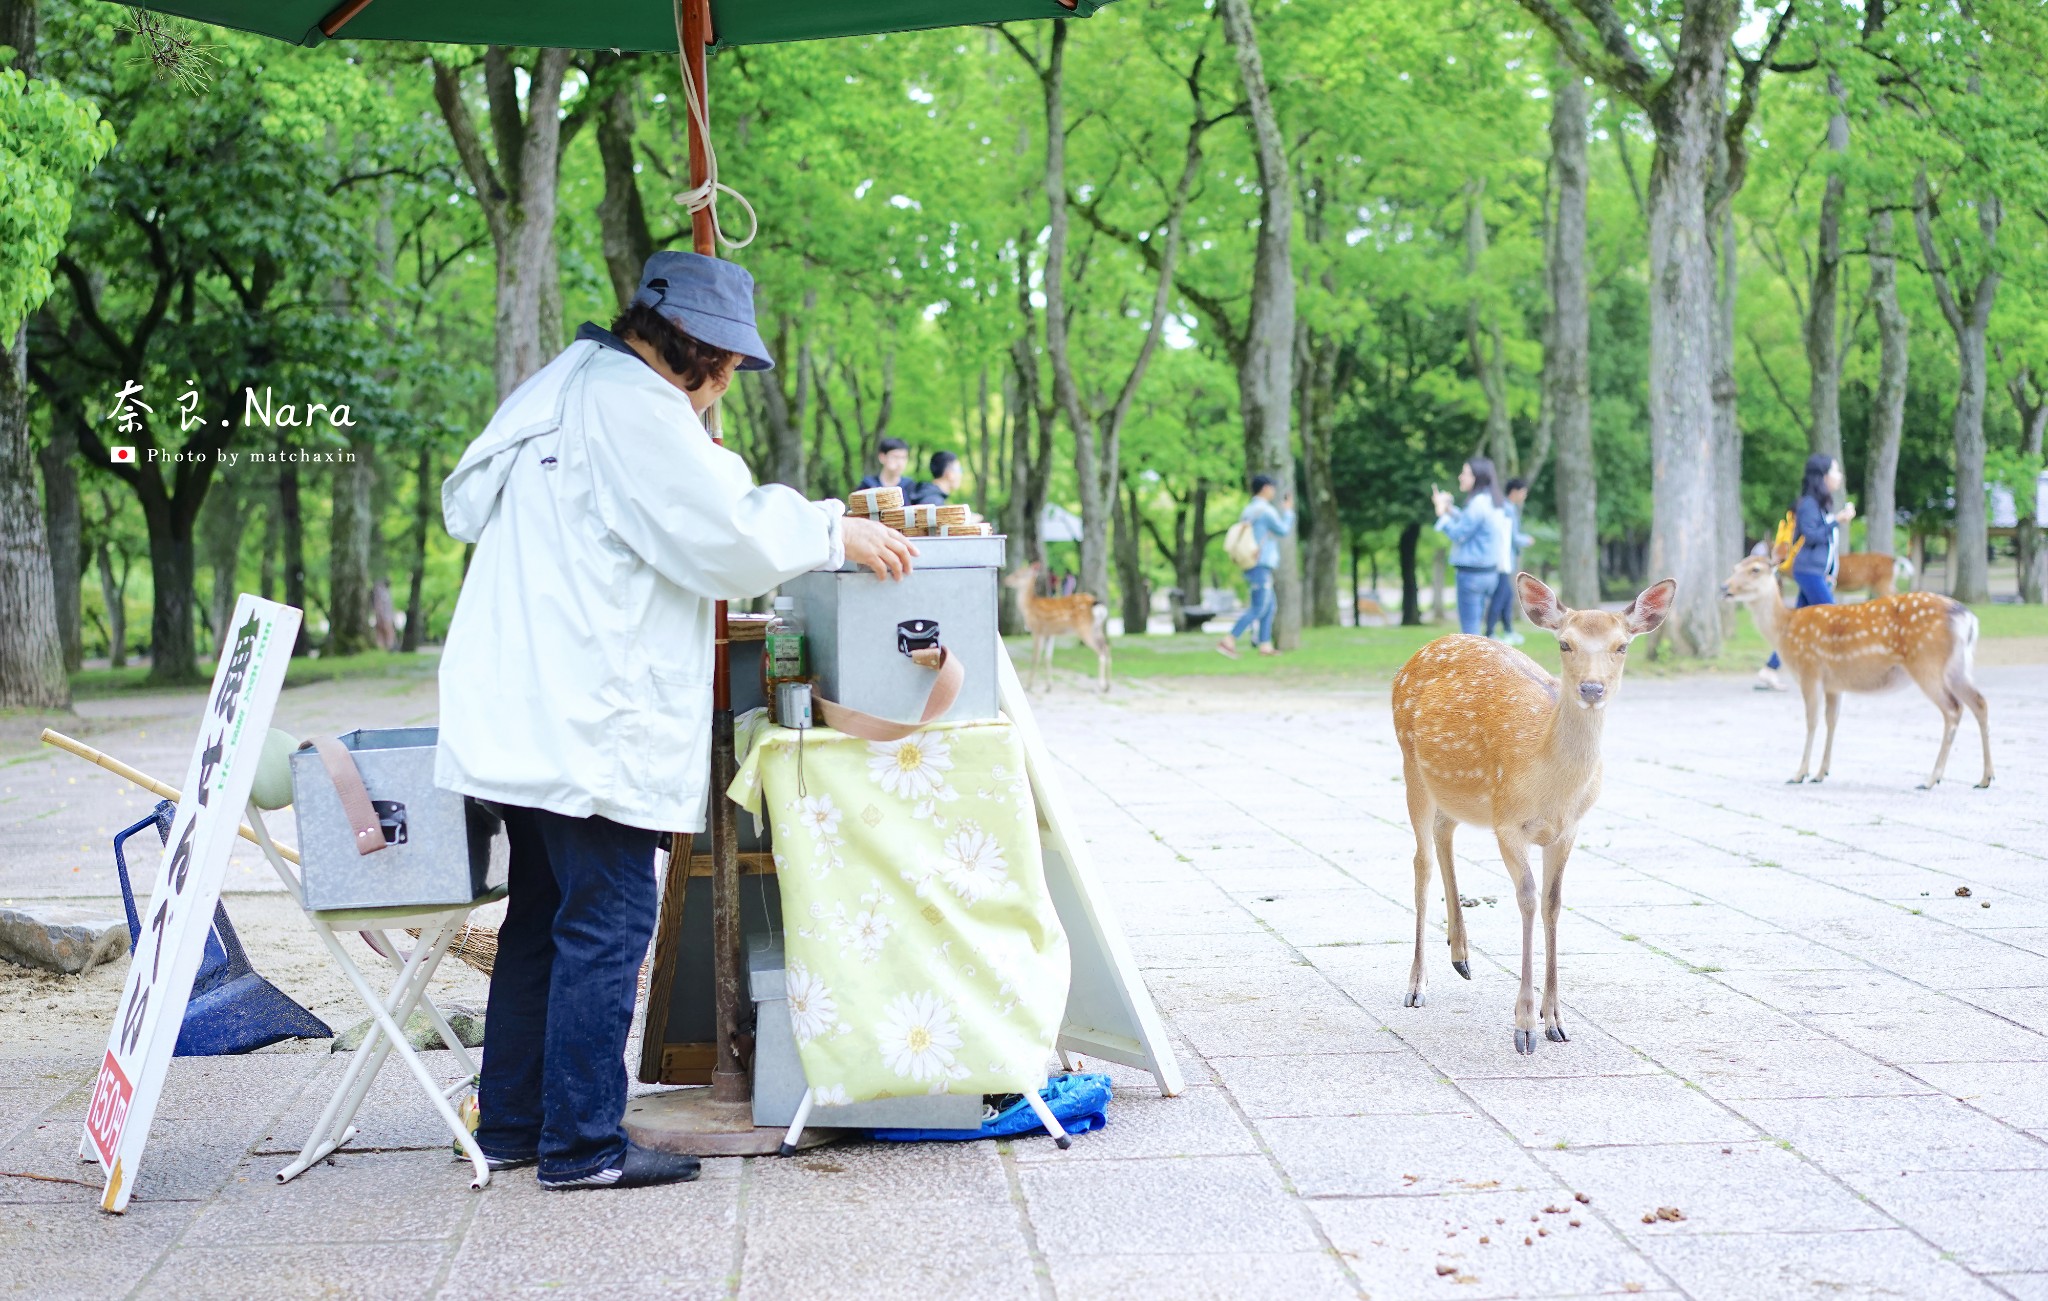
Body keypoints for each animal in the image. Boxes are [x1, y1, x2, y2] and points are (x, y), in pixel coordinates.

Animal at [1003, 565, 1114, 696]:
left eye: (1018, 574)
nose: (1005, 580)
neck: (1029, 607)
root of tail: (1096, 604)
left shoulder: (1037, 630)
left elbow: (1035, 657)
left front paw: (1029, 686)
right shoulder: (1049, 634)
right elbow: (1048, 657)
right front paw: (1048, 687)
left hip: (1084, 629)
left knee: (1101, 651)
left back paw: (1100, 686)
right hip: (1098, 629)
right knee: (1106, 647)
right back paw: (1107, 686)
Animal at [1384, 573, 1671, 1057]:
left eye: (1622, 646)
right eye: (1565, 644)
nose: (1591, 689)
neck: (1551, 788)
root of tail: (1417, 654)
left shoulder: (1568, 830)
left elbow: (1553, 903)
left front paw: (1554, 1019)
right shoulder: (1507, 823)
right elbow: (1528, 899)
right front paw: (1524, 1026)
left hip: (1457, 790)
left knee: (1445, 831)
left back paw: (1460, 953)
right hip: (1411, 765)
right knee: (1420, 861)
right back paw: (1417, 984)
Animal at [1720, 553, 1990, 790]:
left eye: (1755, 569)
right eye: (1734, 568)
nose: (1724, 587)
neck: (1785, 629)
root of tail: (1969, 620)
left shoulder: (1810, 669)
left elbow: (1811, 721)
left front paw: (1799, 774)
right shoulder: (1834, 684)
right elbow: (1832, 721)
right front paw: (1821, 773)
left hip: (1927, 663)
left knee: (1953, 708)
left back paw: (1931, 779)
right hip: (1957, 668)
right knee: (1979, 702)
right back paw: (1985, 777)